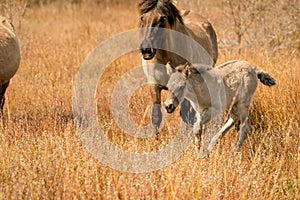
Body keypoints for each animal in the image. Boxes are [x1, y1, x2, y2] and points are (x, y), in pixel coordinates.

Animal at [137, 0, 217, 131]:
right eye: (142, 18)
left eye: (162, 19)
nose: (146, 50)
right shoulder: (154, 85)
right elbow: (156, 116)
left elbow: (186, 115)